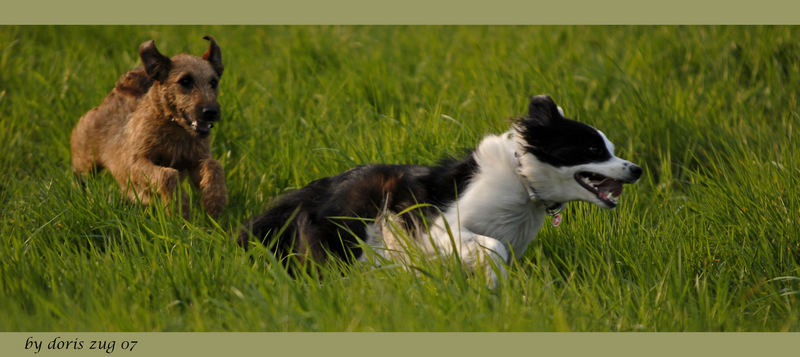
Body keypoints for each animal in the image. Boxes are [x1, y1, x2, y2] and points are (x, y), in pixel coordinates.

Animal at [70, 36, 227, 217]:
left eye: (213, 82)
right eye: (185, 81)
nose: (211, 112)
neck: (174, 129)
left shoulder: (195, 160)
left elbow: (214, 165)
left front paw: (214, 202)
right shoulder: (135, 163)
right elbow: (167, 174)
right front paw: (179, 207)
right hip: (84, 162)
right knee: (81, 179)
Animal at [239, 95, 644, 284]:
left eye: (610, 148)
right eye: (592, 149)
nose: (637, 170)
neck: (522, 181)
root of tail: (309, 193)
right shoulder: (440, 228)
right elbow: (491, 246)